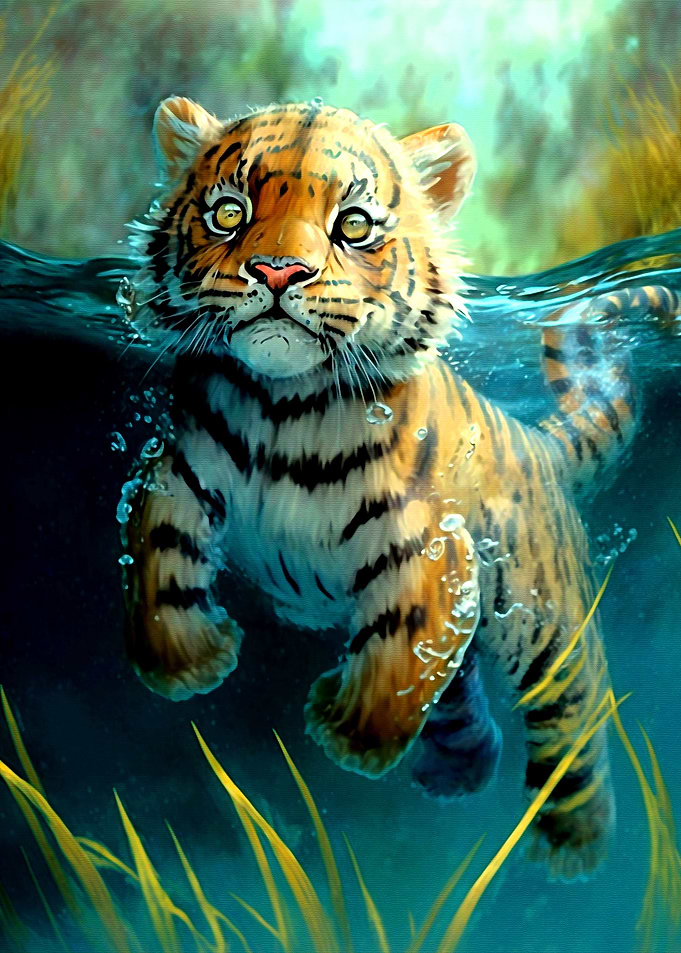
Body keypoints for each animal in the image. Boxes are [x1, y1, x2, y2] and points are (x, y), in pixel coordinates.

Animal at [119, 94, 681, 882]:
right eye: (228, 212)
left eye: (352, 225)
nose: (277, 270)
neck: (281, 411)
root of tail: (536, 439)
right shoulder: (175, 473)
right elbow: (157, 566)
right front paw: (188, 661)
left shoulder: (430, 542)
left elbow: (400, 651)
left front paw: (349, 734)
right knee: (458, 682)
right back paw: (456, 770)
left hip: (550, 621)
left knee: (575, 716)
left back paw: (573, 843)